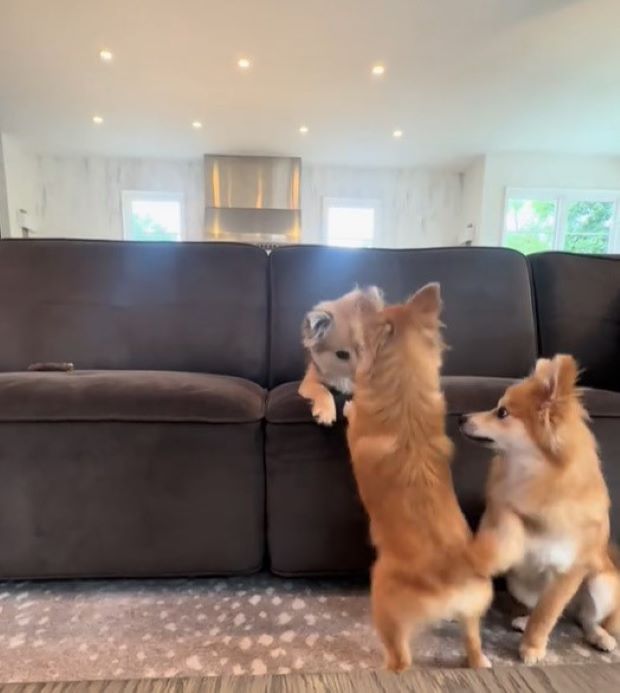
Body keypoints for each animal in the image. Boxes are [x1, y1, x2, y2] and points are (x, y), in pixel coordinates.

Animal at [344, 282, 494, 672]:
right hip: (473, 613)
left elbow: (350, 417)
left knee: (401, 659)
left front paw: (348, 404)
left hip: (382, 596)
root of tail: (453, 572)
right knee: (473, 642)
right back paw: (480, 661)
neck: (405, 390)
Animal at [460, 354, 620, 664]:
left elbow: (546, 615)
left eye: (502, 413)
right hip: (518, 582)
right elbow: (505, 514)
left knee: (584, 619)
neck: (533, 476)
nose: (461, 417)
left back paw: (600, 637)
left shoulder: (568, 573)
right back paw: (523, 620)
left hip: (602, 584)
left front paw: (533, 647)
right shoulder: (497, 521)